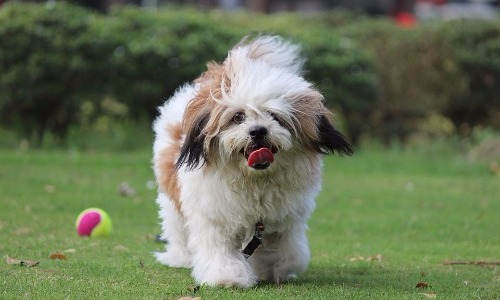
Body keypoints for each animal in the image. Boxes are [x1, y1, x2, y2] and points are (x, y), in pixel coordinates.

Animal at [152, 35, 352, 288]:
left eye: (275, 116)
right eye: (238, 117)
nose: (258, 131)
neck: (254, 180)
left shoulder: (284, 220)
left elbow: (289, 253)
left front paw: (273, 268)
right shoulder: (214, 216)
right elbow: (219, 249)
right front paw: (227, 276)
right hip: (172, 202)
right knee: (177, 228)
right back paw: (180, 257)